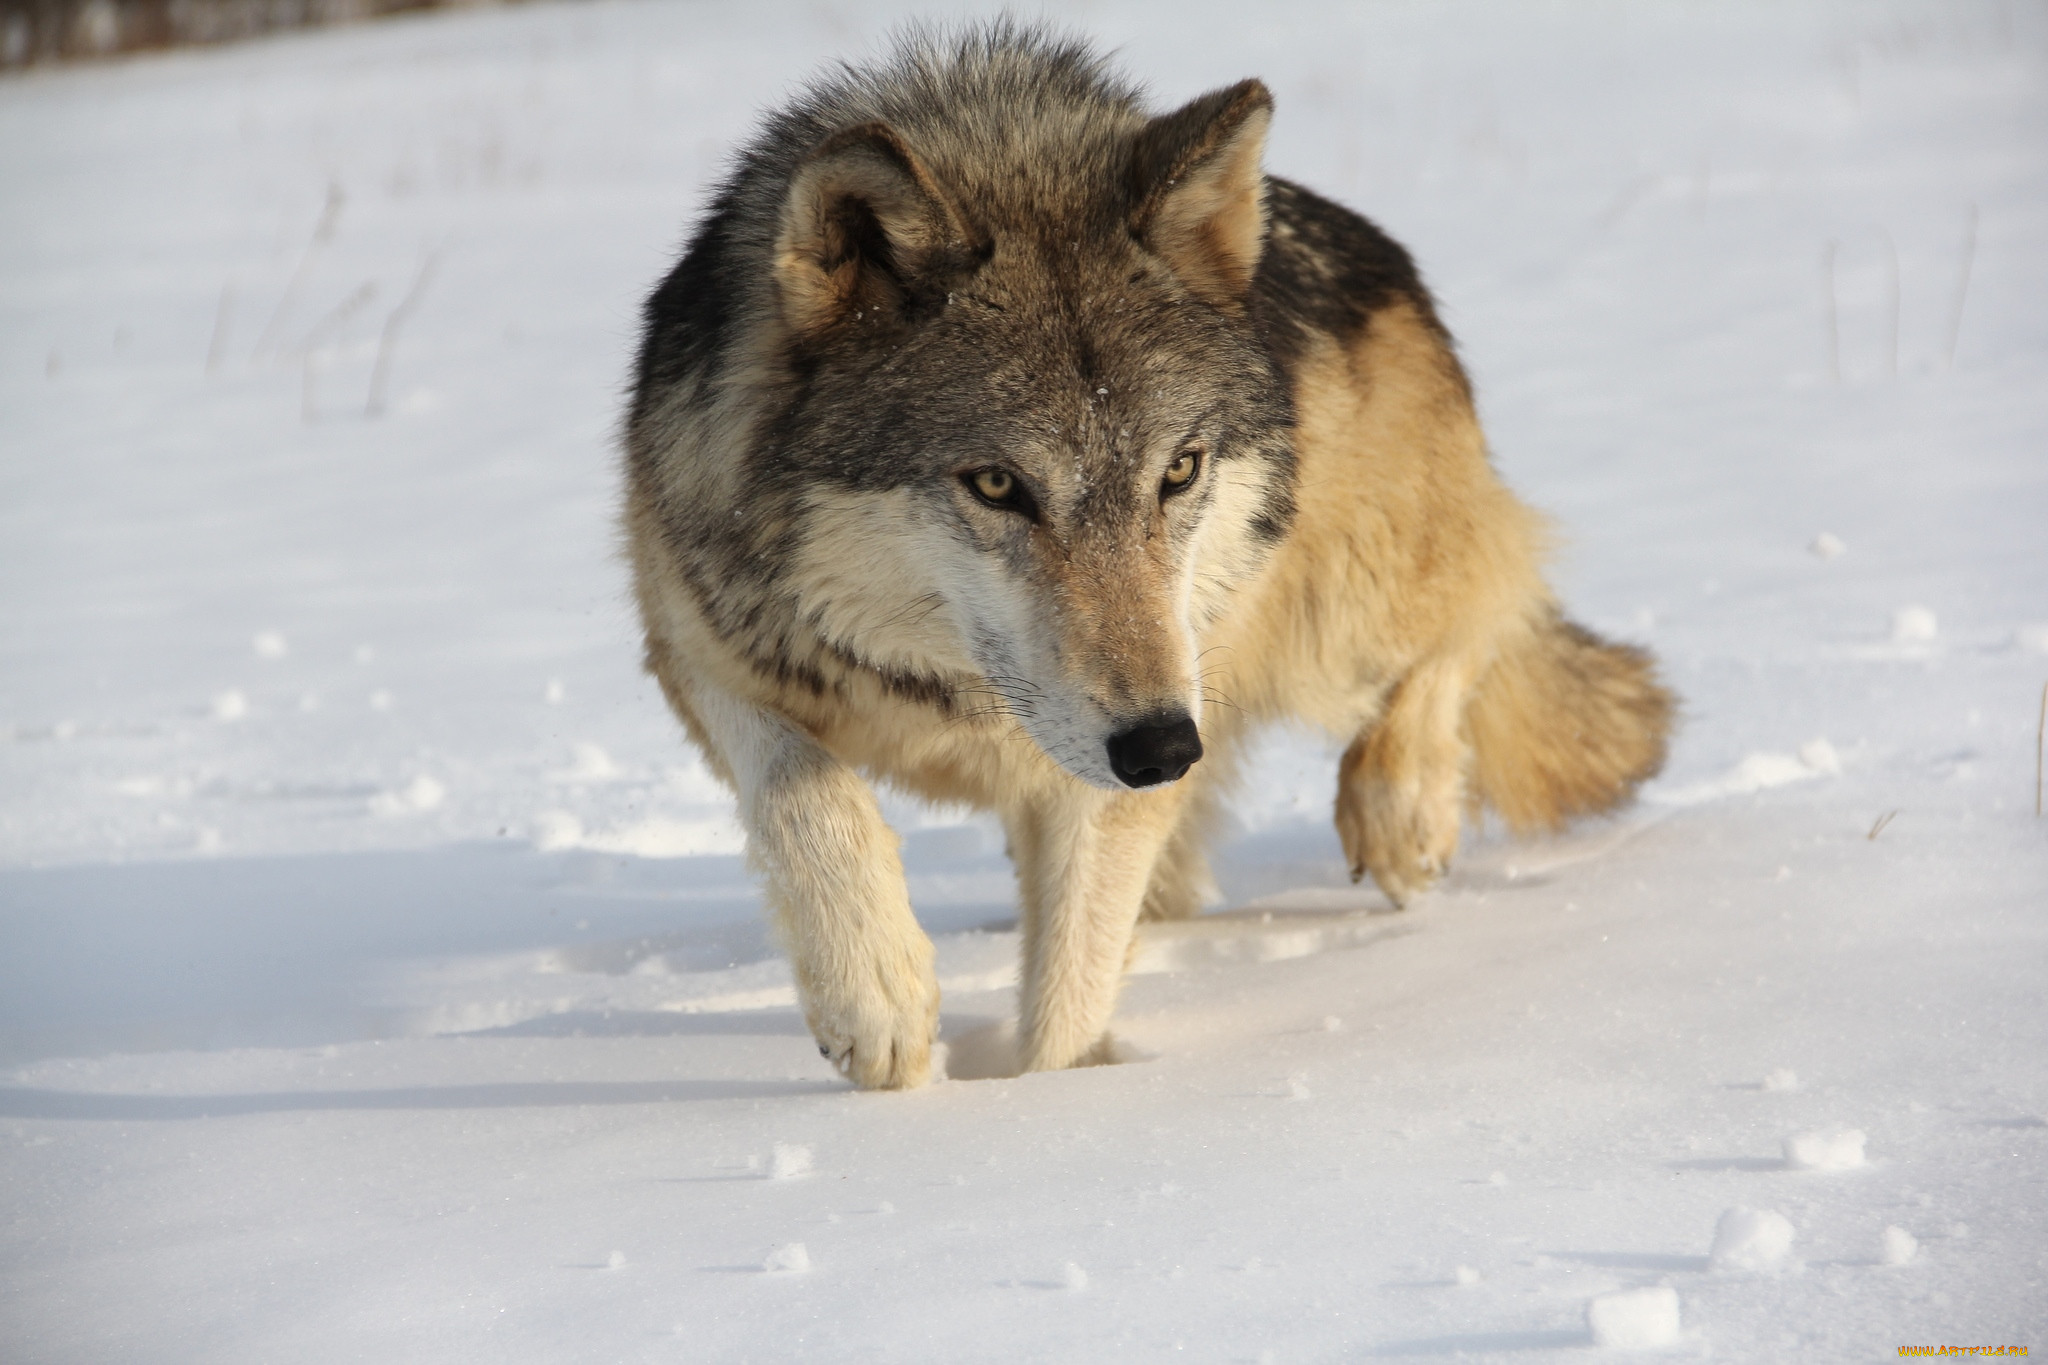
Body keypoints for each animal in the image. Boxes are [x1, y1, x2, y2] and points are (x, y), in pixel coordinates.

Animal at [618, 24, 1662, 1088]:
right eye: (996, 484)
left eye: (1180, 468)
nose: (1162, 747)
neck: (955, 701)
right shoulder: (701, 646)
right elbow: (804, 793)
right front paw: (878, 1000)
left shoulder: (1120, 757)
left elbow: (1067, 997)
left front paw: (1055, 1100)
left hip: (1326, 623)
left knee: (1486, 602)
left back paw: (1403, 815)